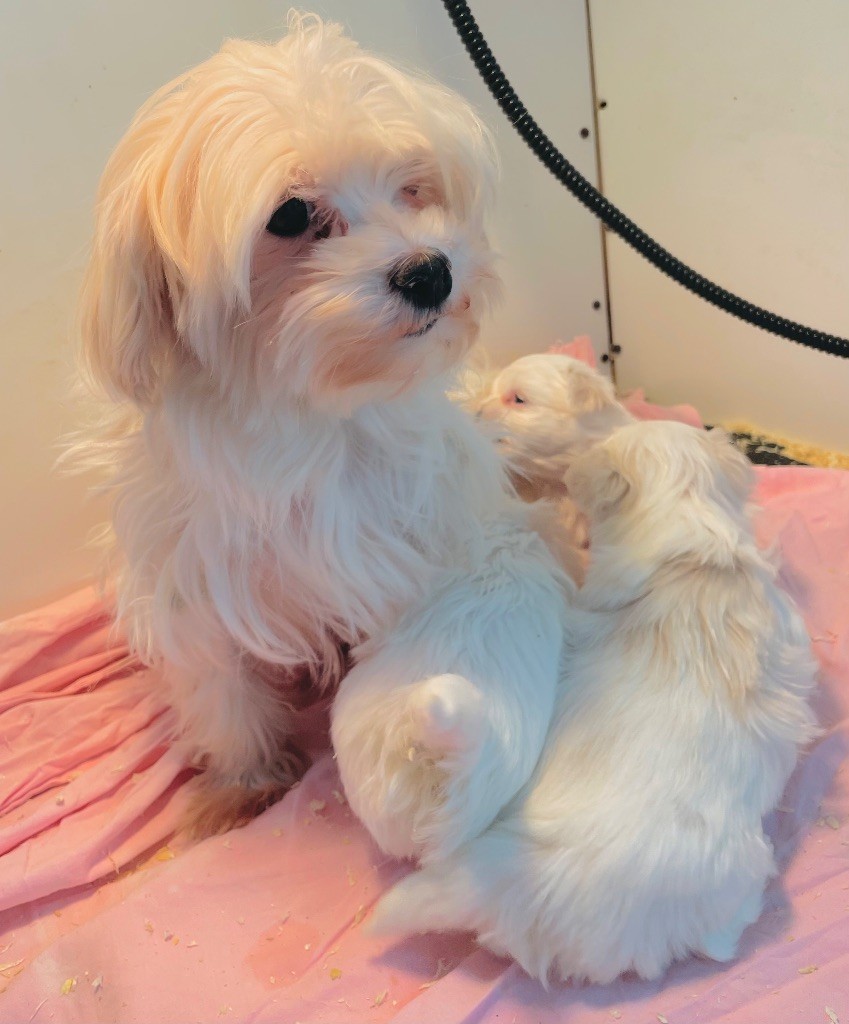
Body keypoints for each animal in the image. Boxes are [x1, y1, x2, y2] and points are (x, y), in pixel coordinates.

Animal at [74, 16, 561, 839]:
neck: (310, 412)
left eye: (412, 184)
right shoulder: (190, 572)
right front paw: (244, 779)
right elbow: (219, 681)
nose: (430, 271)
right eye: (291, 216)